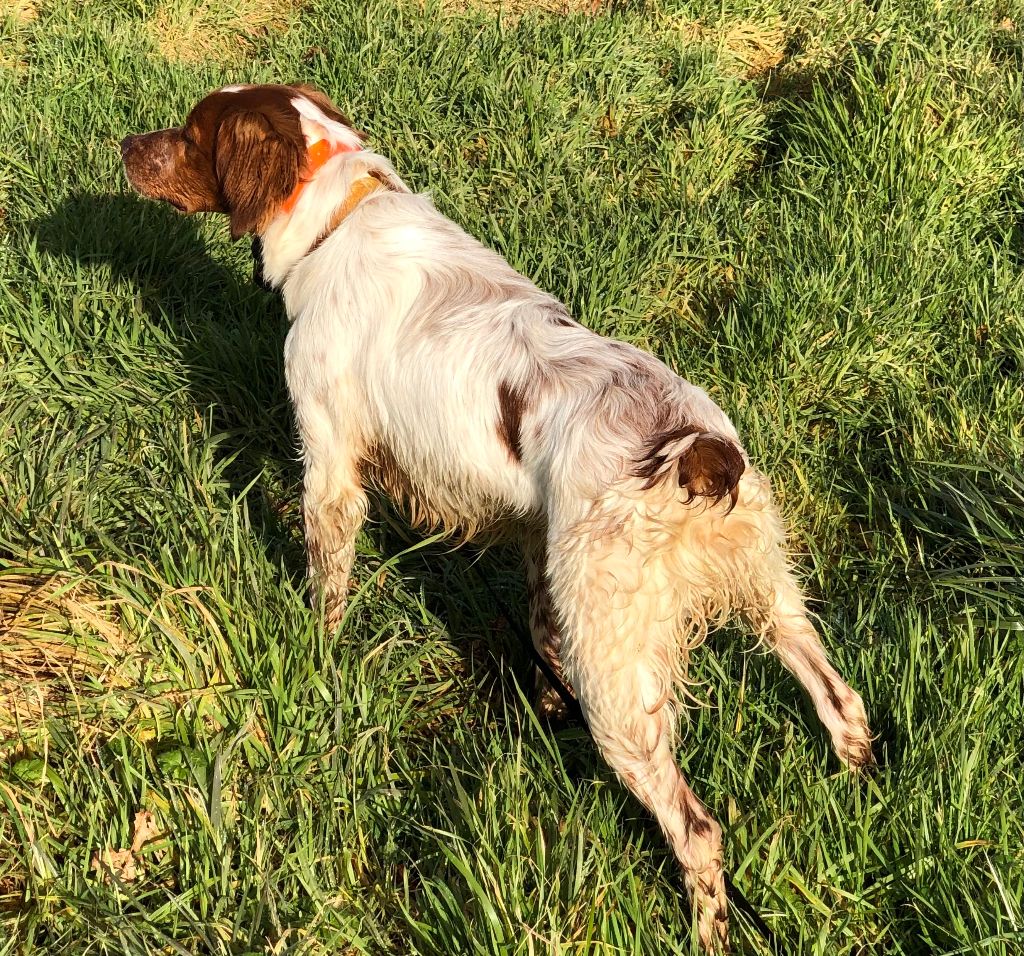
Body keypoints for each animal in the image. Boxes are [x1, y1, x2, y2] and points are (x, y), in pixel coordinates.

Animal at [119, 85, 872, 953]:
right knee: (842, 703)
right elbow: (538, 634)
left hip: (619, 672)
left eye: (188, 133)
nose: (126, 147)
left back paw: (707, 928)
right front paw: (542, 709)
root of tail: (696, 448)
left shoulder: (332, 461)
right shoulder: (538, 540)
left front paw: (318, 657)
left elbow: (327, 587)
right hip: (765, 591)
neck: (341, 216)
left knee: (698, 829)